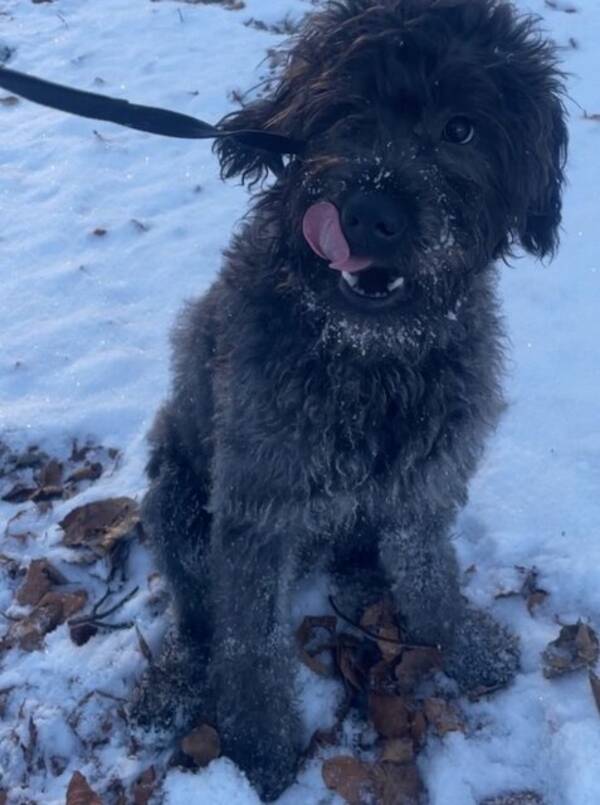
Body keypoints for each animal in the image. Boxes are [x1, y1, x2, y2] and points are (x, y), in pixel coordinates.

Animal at [131, 0, 568, 796]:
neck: (373, 357)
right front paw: (259, 748)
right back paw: (175, 680)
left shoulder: (426, 481)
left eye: (462, 129)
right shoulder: (256, 505)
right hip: (177, 499)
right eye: (349, 105)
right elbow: (250, 642)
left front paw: (460, 642)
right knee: (199, 616)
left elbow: (428, 571)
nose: (370, 215)